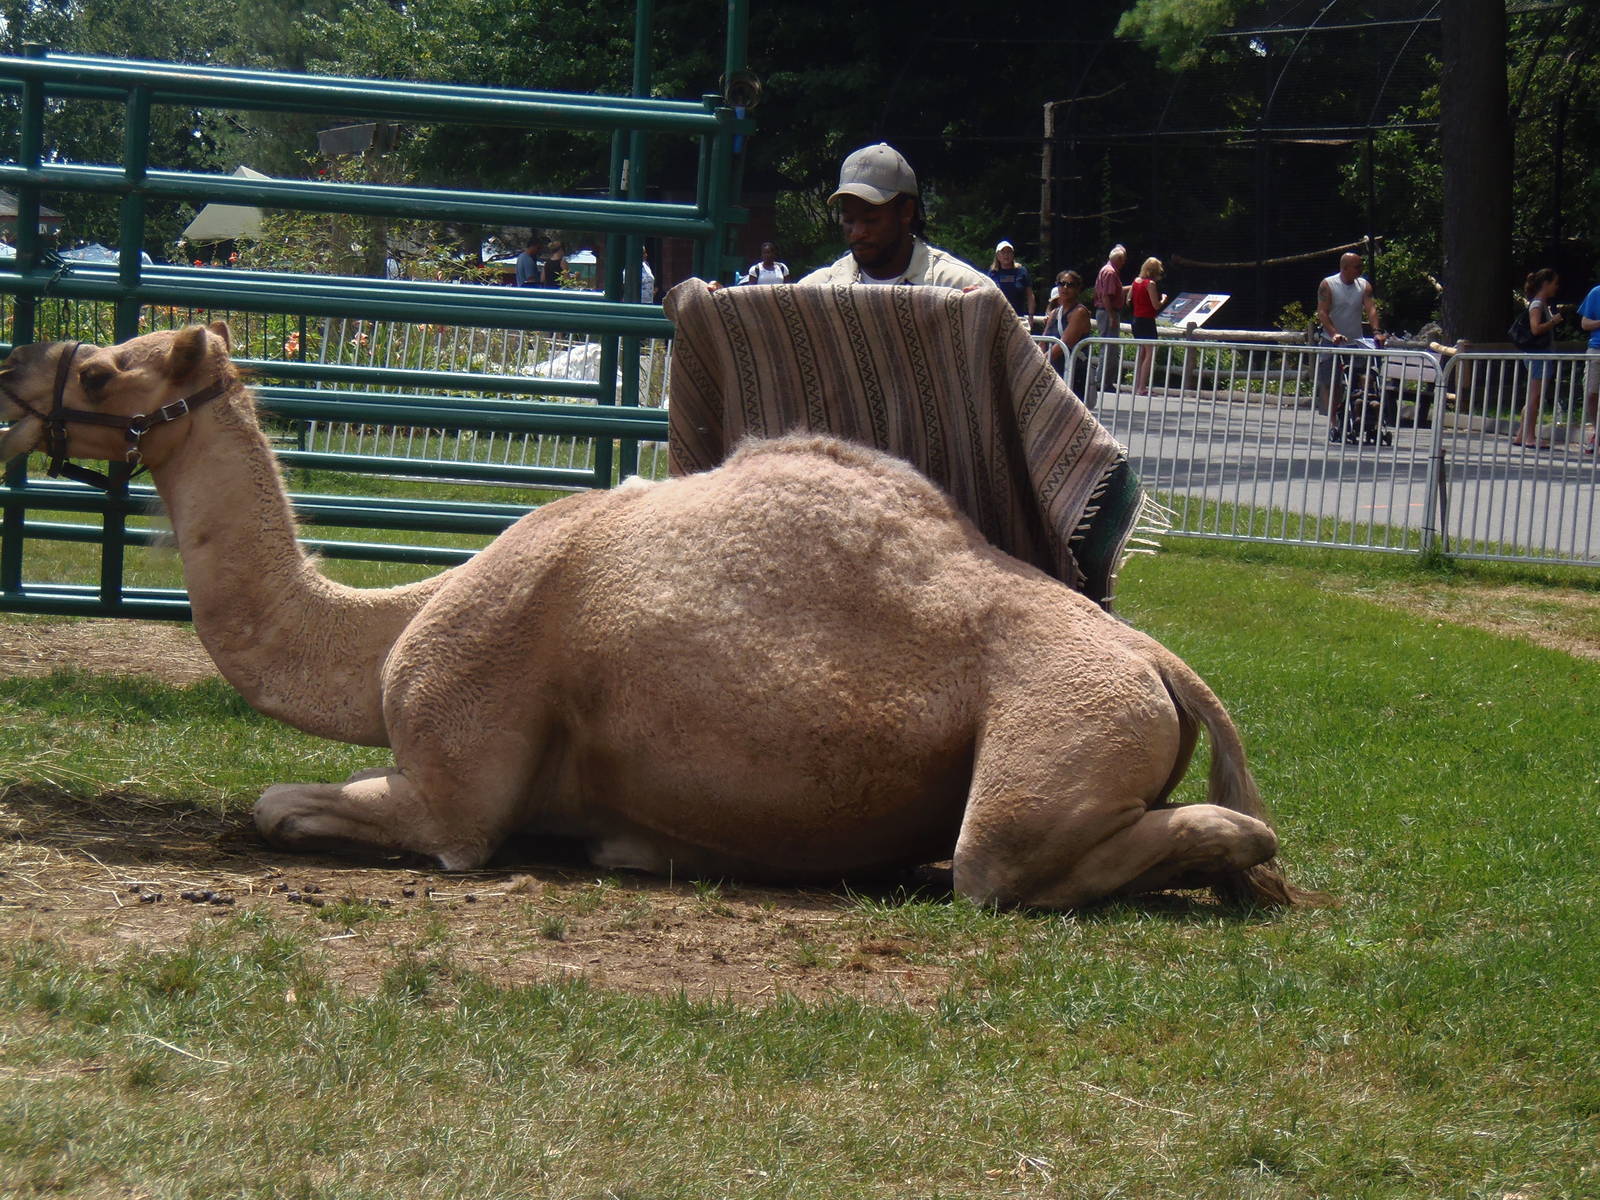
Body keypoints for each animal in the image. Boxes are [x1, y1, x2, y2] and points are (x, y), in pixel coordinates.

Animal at [0, 323, 1310, 909]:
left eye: (108, 369)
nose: (17, 371)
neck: (382, 636)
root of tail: (1160, 665)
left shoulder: (454, 790)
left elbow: (284, 806)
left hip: (1054, 739)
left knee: (1005, 861)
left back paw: (1230, 863)